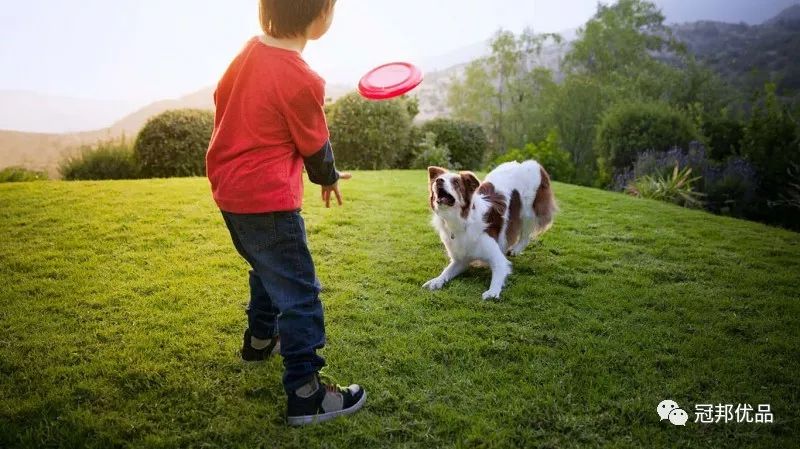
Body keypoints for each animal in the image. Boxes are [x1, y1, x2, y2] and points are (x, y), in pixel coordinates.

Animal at [424, 159, 556, 300]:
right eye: (438, 179)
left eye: (456, 182)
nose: (439, 181)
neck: (463, 221)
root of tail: (530, 163)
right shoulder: (461, 260)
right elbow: (447, 271)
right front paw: (436, 280)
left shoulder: (498, 259)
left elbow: (498, 273)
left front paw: (492, 291)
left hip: (528, 212)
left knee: (525, 235)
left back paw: (515, 249)